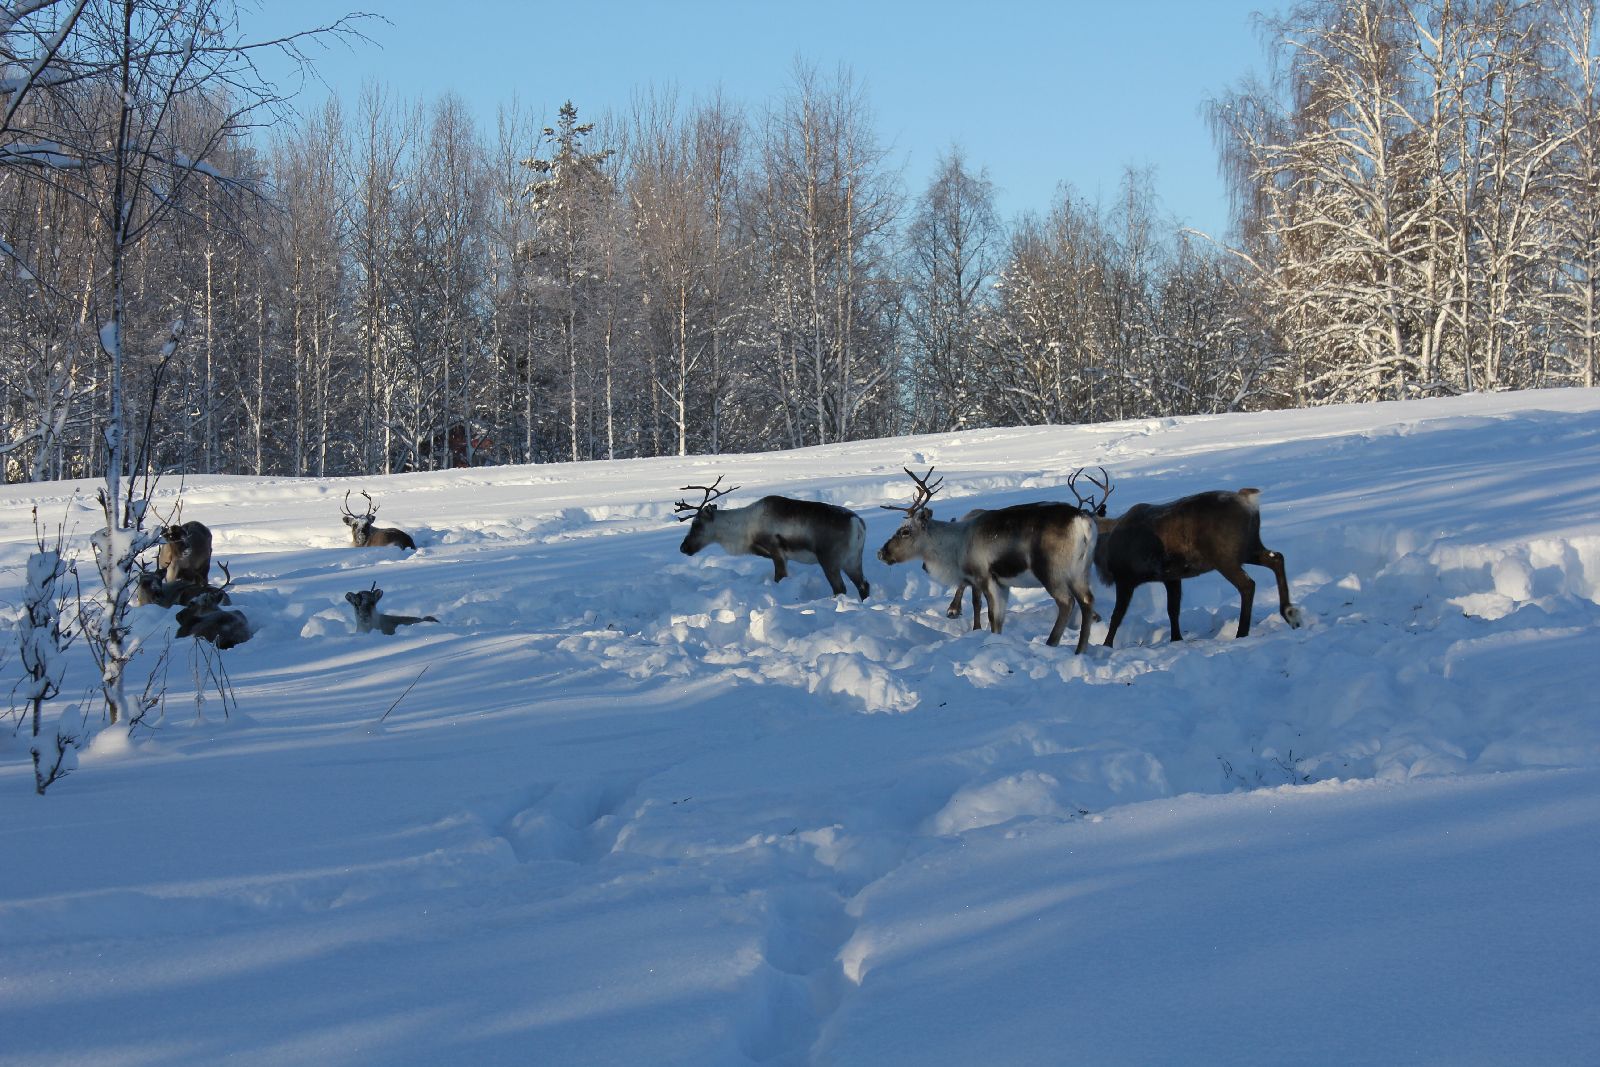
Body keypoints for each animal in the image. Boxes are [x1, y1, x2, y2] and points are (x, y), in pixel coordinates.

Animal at [675, 477, 870, 600]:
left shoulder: (777, 551)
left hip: (829, 560)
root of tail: (857, 523)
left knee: (840, 588)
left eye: (697, 524)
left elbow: (780, 577)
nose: (683, 547)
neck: (744, 530)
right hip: (852, 560)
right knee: (864, 585)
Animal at [877, 467, 1097, 652]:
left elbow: (992, 617)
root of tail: (1083, 522)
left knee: (1067, 602)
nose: (881, 553)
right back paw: (1080, 650)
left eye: (905, 532)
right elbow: (999, 620)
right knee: (1087, 601)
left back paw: (1051, 643)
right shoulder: (1003, 584)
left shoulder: (985, 577)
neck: (955, 546)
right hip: (1081, 572)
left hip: (1051, 572)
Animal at [1090, 472, 1304, 647]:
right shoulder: (1171, 576)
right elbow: (1173, 609)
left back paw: (1242, 633)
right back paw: (1290, 613)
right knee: (1277, 558)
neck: (1105, 545)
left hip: (1225, 556)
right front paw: (1176, 639)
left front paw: (1106, 645)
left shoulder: (1125, 578)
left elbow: (1117, 616)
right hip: (1249, 547)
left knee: (1248, 585)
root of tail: (1247, 500)